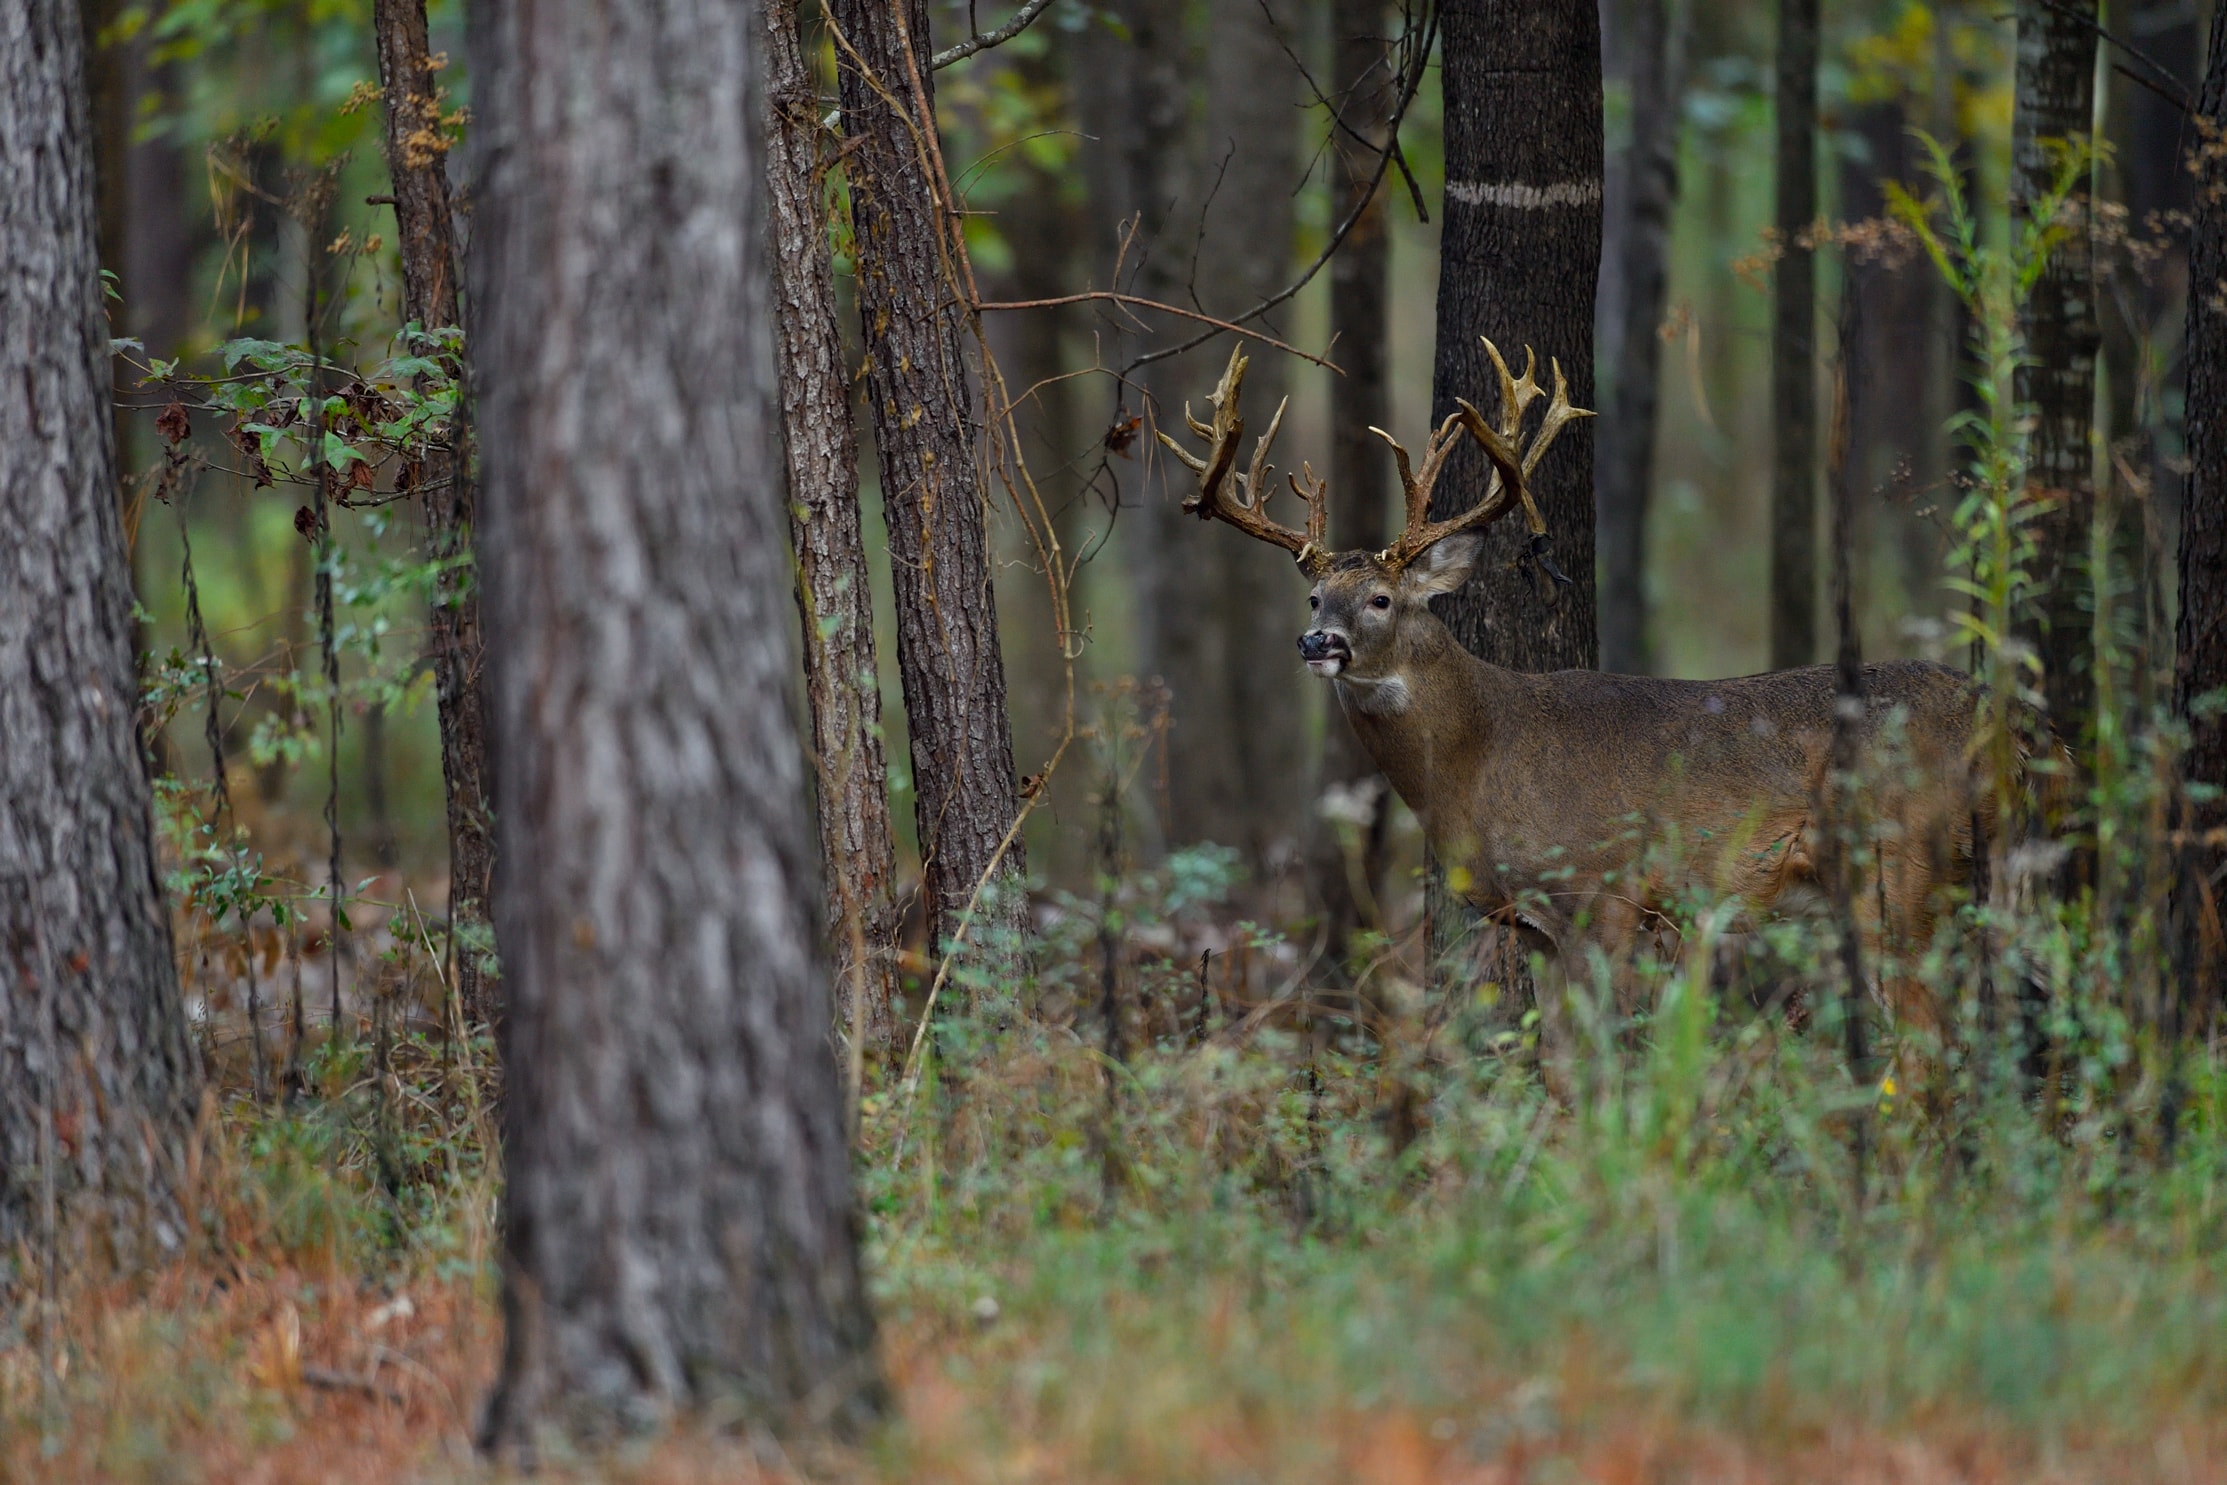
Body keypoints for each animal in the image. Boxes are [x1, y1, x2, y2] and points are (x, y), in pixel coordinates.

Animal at [1158, 336, 1995, 1033]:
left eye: (1380, 599)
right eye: (1312, 597)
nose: (1317, 643)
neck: (1478, 752)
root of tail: (1989, 717)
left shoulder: (1606, 890)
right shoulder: (1531, 924)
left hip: (1894, 866)